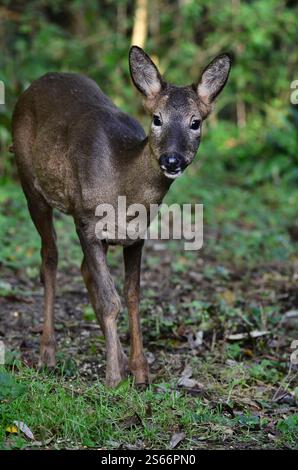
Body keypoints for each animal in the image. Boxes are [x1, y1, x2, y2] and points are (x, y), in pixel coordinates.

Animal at [11, 46, 232, 386]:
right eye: (157, 119)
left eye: (195, 122)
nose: (172, 160)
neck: (123, 187)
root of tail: (34, 84)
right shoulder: (86, 221)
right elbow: (109, 300)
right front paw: (113, 377)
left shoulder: (137, 235)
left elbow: (132, 296)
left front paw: (140, 371)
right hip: (31, 185)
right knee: (49, 259)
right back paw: (47, 354)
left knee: (83, 270)